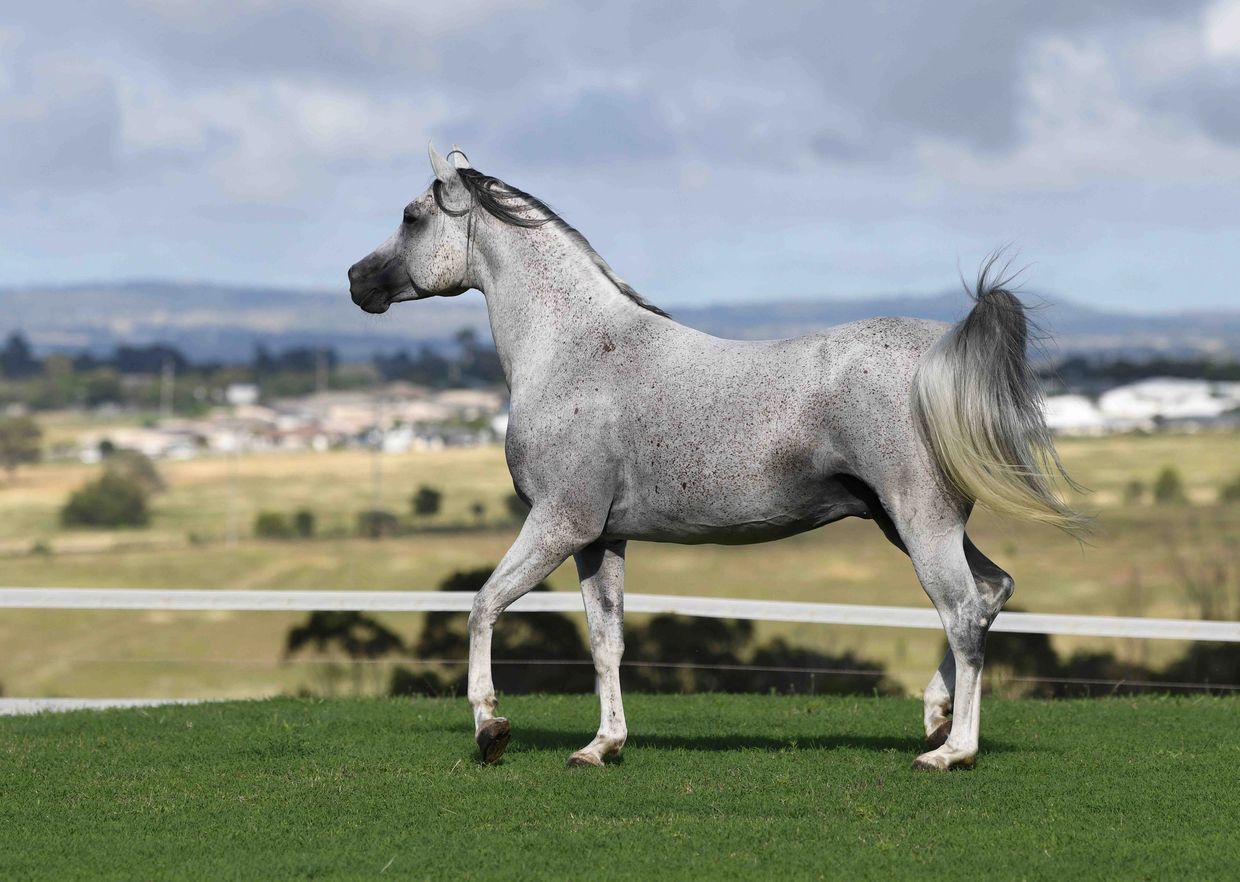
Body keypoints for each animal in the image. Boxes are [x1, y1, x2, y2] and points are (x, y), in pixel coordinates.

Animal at [348, 143, 1083, 771]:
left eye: (411, 216)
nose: (357, 280)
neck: (575, 351)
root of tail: (941, 357)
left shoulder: (558, 524)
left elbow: (482, 607)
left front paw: (490, 730)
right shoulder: (600, 539)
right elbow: (606, 642)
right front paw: (601, 746)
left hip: (921, 522)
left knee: (962, 612)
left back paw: (951, 751)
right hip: (905, 523)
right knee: (990, 593)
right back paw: (936, 718)